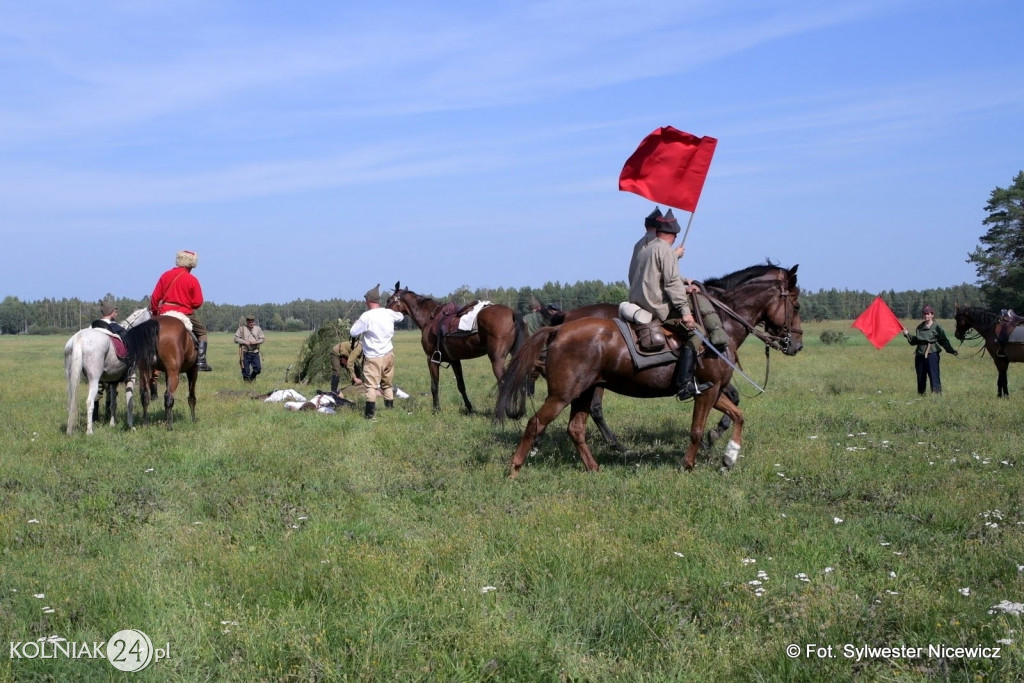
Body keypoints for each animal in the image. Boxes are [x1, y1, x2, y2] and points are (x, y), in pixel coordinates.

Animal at [64, 307, 150, 436]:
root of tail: (79, 339)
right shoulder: (131, 378)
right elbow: (130, 403)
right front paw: (130, 426)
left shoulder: (113, 382)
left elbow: (113, 404)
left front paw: (112, 424)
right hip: (94, 380)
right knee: (90, 402)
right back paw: (89, 431)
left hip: (71, 379)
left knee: (72, 402)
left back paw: (70, 430)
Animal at [385, 282, 524, 413]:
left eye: (389, 300)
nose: (383, 311)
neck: (429, 318)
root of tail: (512, 313)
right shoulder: (455, 361)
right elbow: (461, 385)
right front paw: (469, 408)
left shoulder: (431, 359)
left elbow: (434, 386)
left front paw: (436, 409)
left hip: (497, 360)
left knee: (504, 383)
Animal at [493, 264, 798, 479]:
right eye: (795, 305)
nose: (796, 344)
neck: (718, 325)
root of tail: (560, 327)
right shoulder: (707, 391)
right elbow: (697, 429)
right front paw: (689, 464)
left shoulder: (713, 389)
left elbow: (738, 415)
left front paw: (729, 457)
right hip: (563, 394)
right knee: (537, 423)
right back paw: (516, 467)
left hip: (584, 391)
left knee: (576, 428)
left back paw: (595, 467)